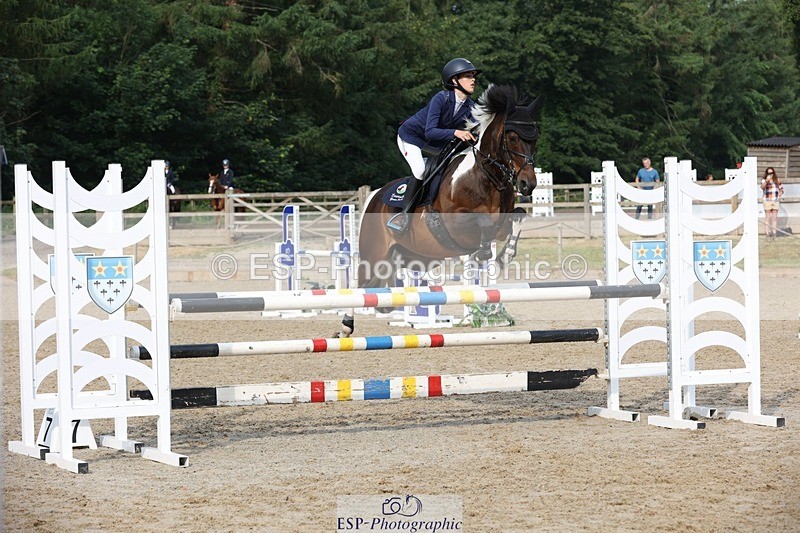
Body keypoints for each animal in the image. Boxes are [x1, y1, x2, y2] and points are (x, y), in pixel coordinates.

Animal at [339, 84, 541, 337]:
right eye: (512, 137)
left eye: (534, 139)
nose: (527, 184)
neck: (484, 176)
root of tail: (374, 196)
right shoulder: (456, 224)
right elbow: (483, 222)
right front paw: (483, 253)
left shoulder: (501, 224)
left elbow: (518, 216)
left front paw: (506, 255)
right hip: (375, 253)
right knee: (358, 286)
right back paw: (346, 327)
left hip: (415, 257)